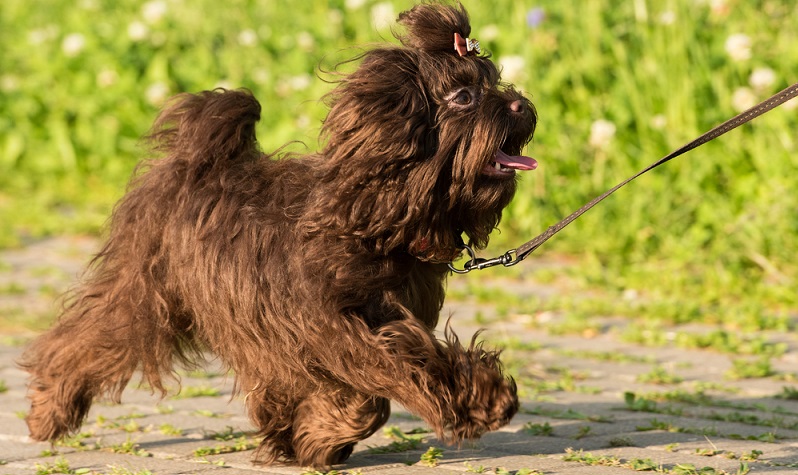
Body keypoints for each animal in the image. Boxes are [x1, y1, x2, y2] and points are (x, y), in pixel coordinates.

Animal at [18, 0, 540, 468]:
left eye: (494, 80)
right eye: (464, 96)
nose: (521, 103)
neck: (374, 216)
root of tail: (194, 158)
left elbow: (353, 390)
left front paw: (307, 437)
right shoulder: (335, 328)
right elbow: (386, 381)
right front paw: (479, 401)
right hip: (147, 292)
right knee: (87, 339)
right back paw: (48, 408)